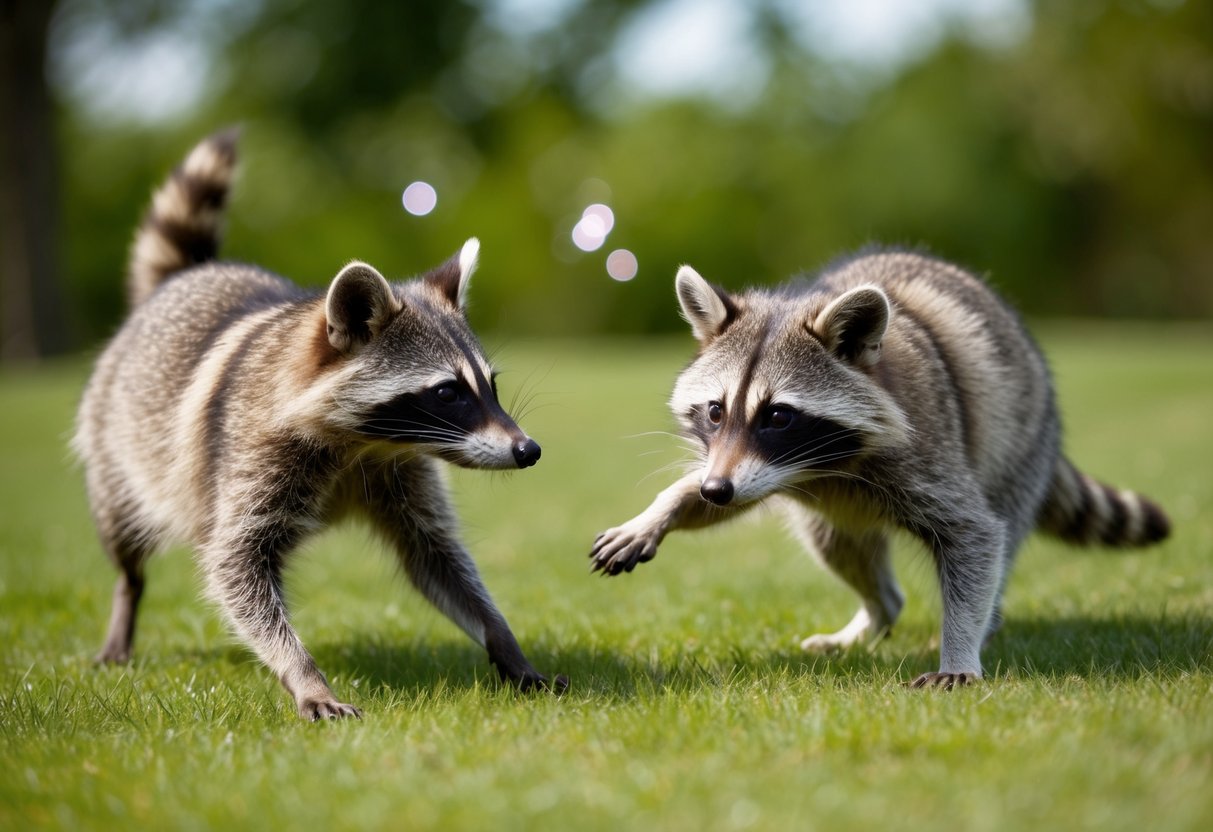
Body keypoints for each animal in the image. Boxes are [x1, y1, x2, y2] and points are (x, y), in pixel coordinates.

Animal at [75, 129, 565, 720]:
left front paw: (503, 640)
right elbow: (235, 564)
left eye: (489, 385)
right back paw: (126, 600)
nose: (528, 449)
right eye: (447, 393)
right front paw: (303, 673)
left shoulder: (401, 472)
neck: (364, 444)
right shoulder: (253, 456)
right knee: (124, 539)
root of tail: (182, 280)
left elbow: (438, 558)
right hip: (114, 439)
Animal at [590, 251, 1170, 689]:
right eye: (715, 411)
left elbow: (976, 535)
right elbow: (723, 493)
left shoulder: (928, 454)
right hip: (836, 519)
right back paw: (877, 612)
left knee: (999, 539)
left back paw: (978, 624)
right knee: (837, 544)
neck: (822, 466)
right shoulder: (748, 468)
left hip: (1019, 449)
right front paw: (663, 507)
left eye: (778, 416)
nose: (716, 488)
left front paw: (960, 650)